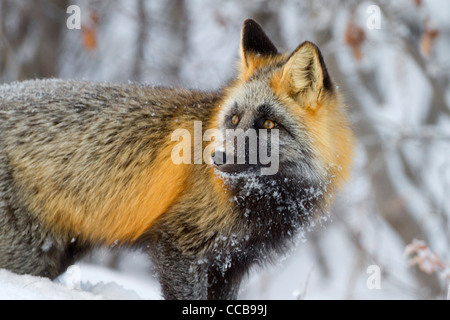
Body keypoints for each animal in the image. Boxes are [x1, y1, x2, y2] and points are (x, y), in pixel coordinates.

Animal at [0, 19, 354, 300]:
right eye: (235, 119)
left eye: (268, 124)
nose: (217, 156)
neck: (261, 199)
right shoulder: (180, 247)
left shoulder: (230, 265)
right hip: (30, 256)